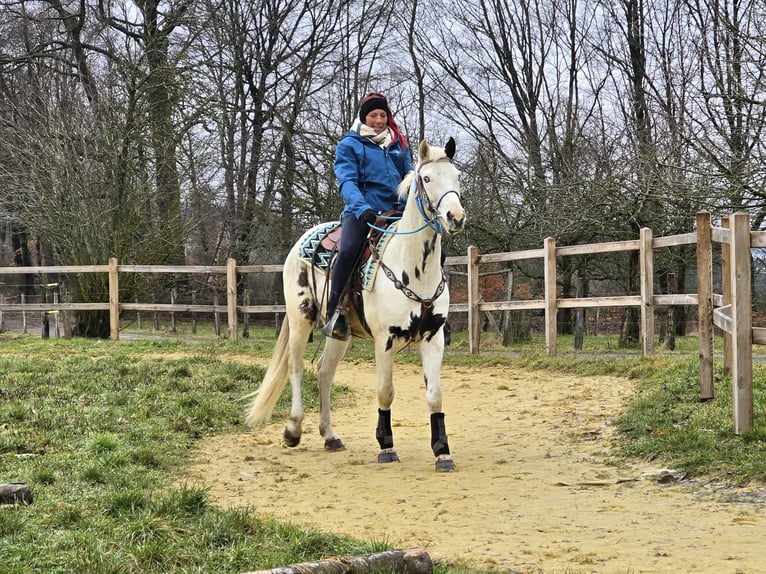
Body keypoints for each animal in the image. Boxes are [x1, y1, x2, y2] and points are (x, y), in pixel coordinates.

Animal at [245, 138, 465, 472]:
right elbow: (385, 393)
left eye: (457, 177)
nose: (455, 217)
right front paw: (386, 446)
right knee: (296, 367)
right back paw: (293, 430)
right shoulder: (385, 340)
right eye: (426, 178)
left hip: (339, 333)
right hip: (300, 319)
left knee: (324, 371)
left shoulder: (433, 337)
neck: (411, 266)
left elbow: (435, 396)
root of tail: (302, 241)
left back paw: (330, 435)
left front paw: (442, 451)